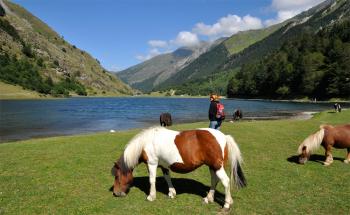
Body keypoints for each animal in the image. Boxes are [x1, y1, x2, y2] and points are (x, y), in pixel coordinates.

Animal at [111, 127, 246, 209]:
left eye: (117, 176)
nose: (116, 193)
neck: (146, 142)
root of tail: (224, 136)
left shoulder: (152, 164)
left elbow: (152, 180)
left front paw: (151, 196)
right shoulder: (163, 165)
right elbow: (167, 178)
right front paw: (172, 193)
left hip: (217, 166)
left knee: (225, 181)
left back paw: (227, 204)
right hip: (212, 166)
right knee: (214, 180)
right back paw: (208, 198)